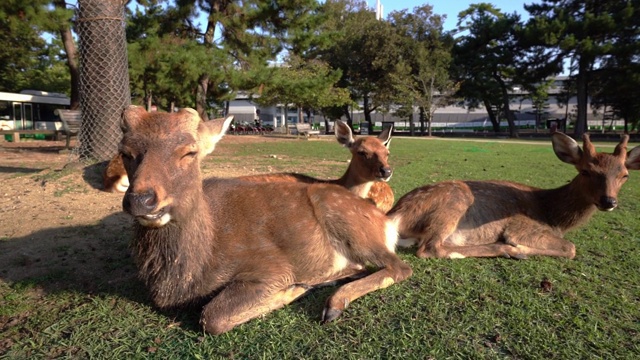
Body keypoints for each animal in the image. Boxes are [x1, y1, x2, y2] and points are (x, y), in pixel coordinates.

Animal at [117, 106, 412, 334]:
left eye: (190, 151)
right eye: (124, 152)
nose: (141, 200)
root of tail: (387, 222)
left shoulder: (271, 266)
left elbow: (212, 318)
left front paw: (294, 289)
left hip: (353, 226)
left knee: (400, 267)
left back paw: (332, 304)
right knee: (364, 266)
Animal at [384, 132, 640, 258]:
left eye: (625, 175)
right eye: (586, 170)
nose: (609, 201)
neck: (553, 215)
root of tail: (395, 216)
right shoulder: (522, 226)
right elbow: (570, 248)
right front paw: (520, 248)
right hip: (454, 203)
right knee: (429, 248)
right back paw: (506, 250)